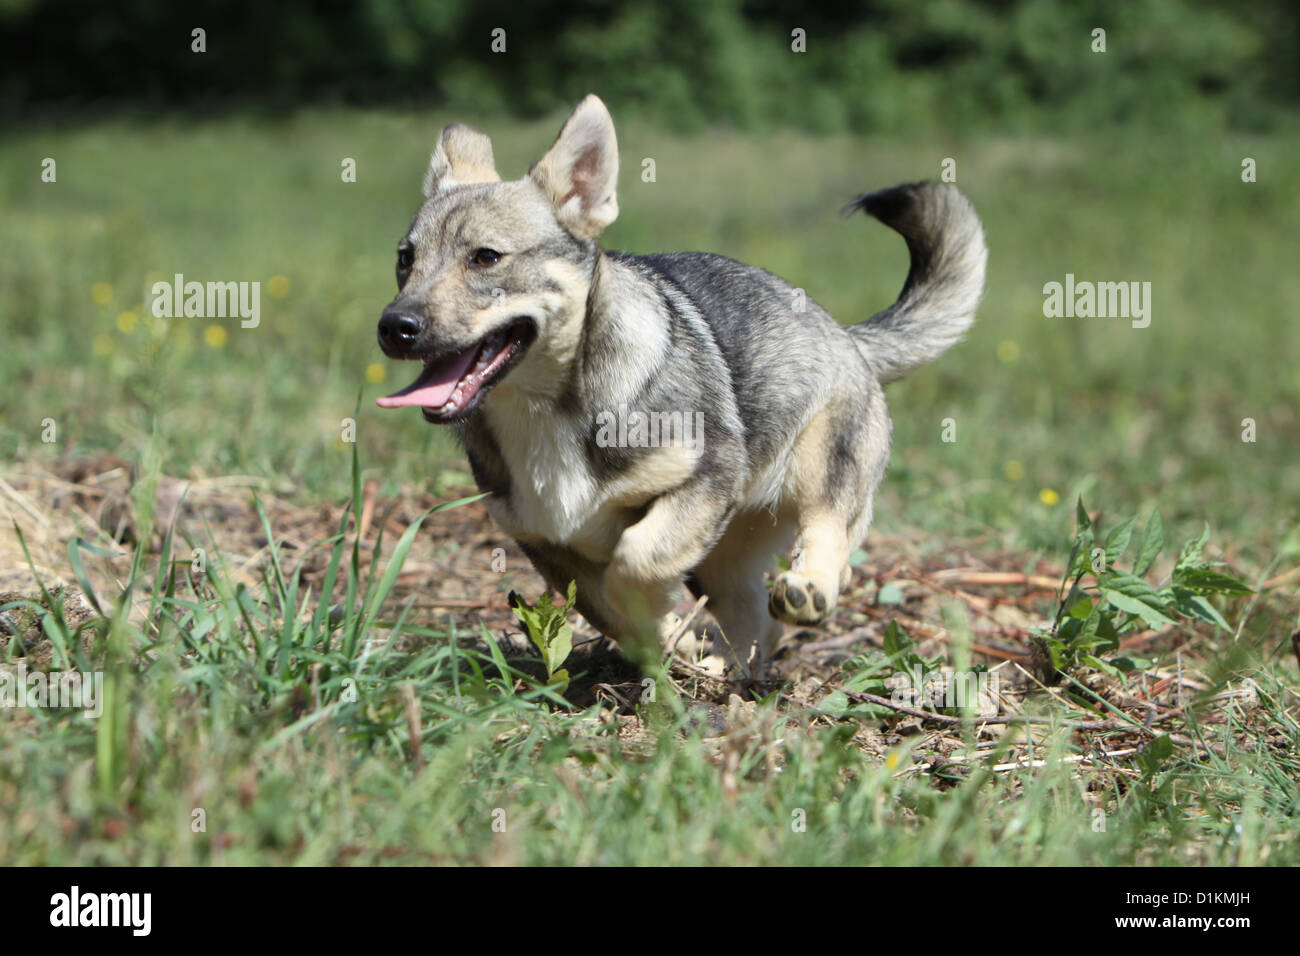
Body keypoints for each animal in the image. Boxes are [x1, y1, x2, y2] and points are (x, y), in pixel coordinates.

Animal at [377, 91, 982, 671]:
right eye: (405, 259)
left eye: (485, 257)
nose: (394, 327)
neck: (548, 409)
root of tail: (849, 337)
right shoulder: (545, 542)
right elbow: (608, 608)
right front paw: (668, 639)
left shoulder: (705, 475)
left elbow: (636, 560)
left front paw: (664, 623)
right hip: (724, 555)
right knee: (756, 618)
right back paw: (728, 669)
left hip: (821, 470)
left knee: (826, 534)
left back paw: (809, 590)